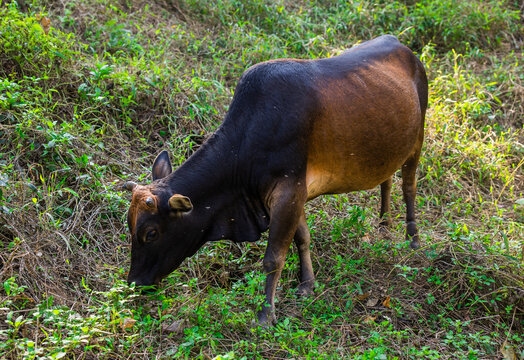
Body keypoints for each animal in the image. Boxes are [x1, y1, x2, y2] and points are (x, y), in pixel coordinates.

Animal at [125, 35, 428, 326]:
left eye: (151, 233)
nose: (134, 284)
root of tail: (404, 48)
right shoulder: (294, 193)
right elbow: (302, 237)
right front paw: (307, 284)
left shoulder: (288, 191)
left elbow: (273, 258)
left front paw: (264, 315)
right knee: (386, 180)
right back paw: (384, 225)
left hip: (418, 139)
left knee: (409, 187)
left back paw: (412, 238)